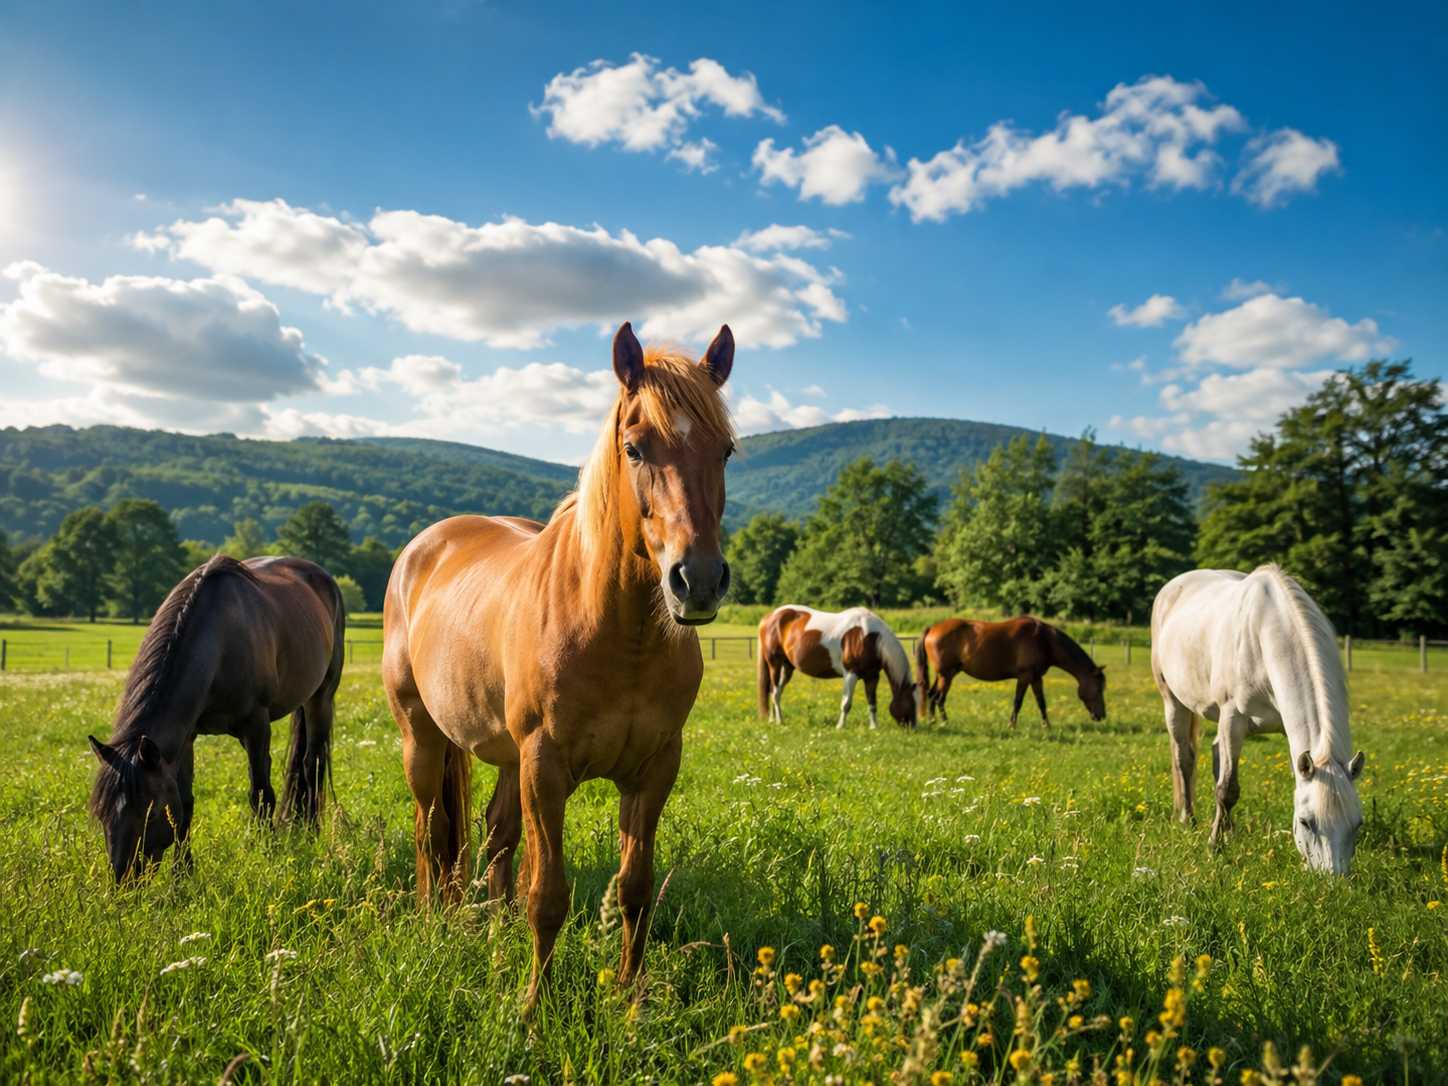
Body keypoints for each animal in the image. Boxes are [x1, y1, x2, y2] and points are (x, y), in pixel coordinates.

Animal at [87, 555, 344, 881]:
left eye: (150, 811)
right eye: (102, 813)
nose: (125, 879)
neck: (218, 643)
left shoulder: (256, 727)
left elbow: (261, 794)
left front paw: (268, 855)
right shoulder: (185, 738)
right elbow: (185, 804)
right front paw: (183, 873)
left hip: (321, 697)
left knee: (312, 764)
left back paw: (311, 831)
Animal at [382, 321, 735, 1016]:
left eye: (727, 451)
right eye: (634, 447)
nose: (699, 580)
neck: (618, 636)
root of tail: (422, 548)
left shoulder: (655, 770)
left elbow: (633, 889)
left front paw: (630, 1001)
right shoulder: (544, 767)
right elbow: (547, 895)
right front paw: (533, 1010)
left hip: (504, 756)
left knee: (491, 839)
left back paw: (487, 935)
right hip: (423, 737)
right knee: (430, 830)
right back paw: (433, 923)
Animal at [756, 606, 917, 729]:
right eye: (911, 703)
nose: (913, 728)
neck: (869, 638)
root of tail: (770, 617)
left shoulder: (872, 677)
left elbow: (872, 703)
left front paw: (873, 727)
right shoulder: (851, 674)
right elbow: (846, 703)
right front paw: (840, 727)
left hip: (787, 667)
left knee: (775, 691)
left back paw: (772, 720)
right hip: (774, 664)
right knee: (775, 692)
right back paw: (780, 721)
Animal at [917, 616, 1106, 727]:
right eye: (1098, 689)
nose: (1101, 716)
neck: (1044, 640)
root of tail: (932, 628)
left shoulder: (1036, 678)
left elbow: (1041, 702)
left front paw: (1047, 726)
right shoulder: (1024, 677)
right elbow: (1017, 702)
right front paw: (1012, 725)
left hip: (944, 674)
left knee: (932, 695)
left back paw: (932, 721)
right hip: (947, 675)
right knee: (939, 698)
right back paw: (944, 722)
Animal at [1151, 565, 1366, 875]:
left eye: (1357, 824)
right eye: (1306, 822)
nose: (1332, 880)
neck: (1263, 640)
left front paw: (1225, 835)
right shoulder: (1232, 720)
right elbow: (1227, 790)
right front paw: (1214, 847)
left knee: (1216, 755)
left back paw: (1229, 830)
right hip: (1173, 701)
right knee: (1185, 759)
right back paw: (1188, 820)